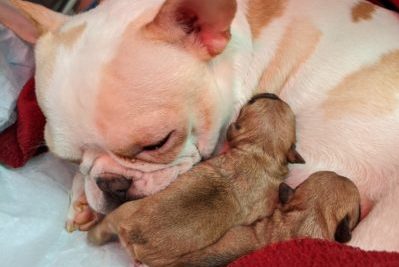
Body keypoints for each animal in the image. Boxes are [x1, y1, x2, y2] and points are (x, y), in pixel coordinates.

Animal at [89, 93, 304, 266]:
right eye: (252, 101)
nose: (272, 94)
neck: (261, 152)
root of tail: (134, 233)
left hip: (124, 211)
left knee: (103, 228)